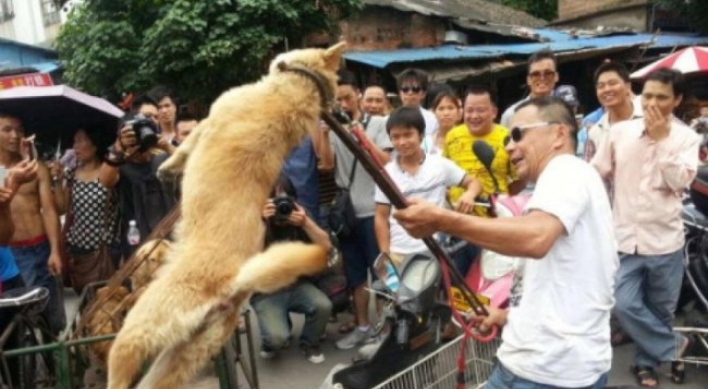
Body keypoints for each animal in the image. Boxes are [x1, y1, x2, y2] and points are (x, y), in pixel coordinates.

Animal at [105, 42, 346, 388]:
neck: (291, 92)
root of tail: (232, 282)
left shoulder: (206, 122)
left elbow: (179, 148)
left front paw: (166, 168)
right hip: (183, 354)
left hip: (137, 329)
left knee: (120, 375)